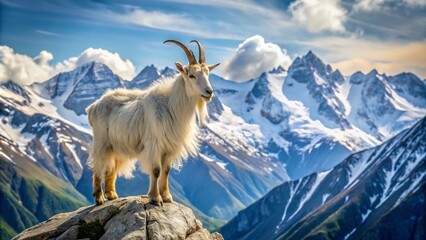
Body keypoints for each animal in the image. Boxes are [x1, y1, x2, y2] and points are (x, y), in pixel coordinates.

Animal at [86, 40, 220, 205]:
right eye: (191, 75)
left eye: (208, 73)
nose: (209, 92)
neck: (171, 106)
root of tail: (92, 107)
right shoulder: (154, 143)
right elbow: (156, 170)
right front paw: (156, 198)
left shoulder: (169, 147)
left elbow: (166, 170)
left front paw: (167, 196)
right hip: (102, 141)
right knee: (98, 165)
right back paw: (99, 198)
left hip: (116, 145)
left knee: (112, 167)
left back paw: (112, 195)